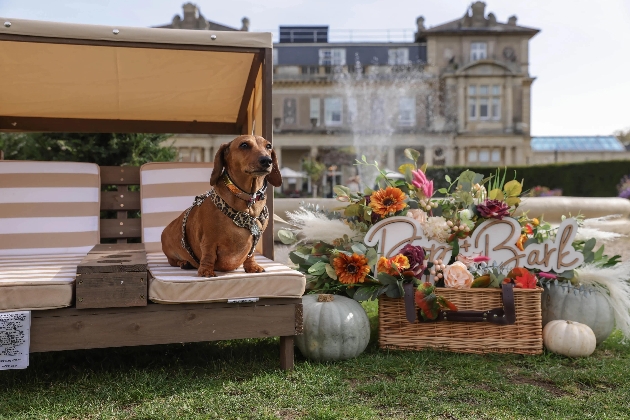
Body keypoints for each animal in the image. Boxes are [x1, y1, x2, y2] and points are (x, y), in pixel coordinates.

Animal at [162, 136, 282, 278]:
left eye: (268, 146)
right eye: (244, 145)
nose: (267, 161)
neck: (248, 201)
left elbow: (250, 255)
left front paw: (252, 267)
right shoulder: (209, 240)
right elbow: (208, 255)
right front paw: (206, 271)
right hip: (170, 252)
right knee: (173, 261)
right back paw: (184, 262)